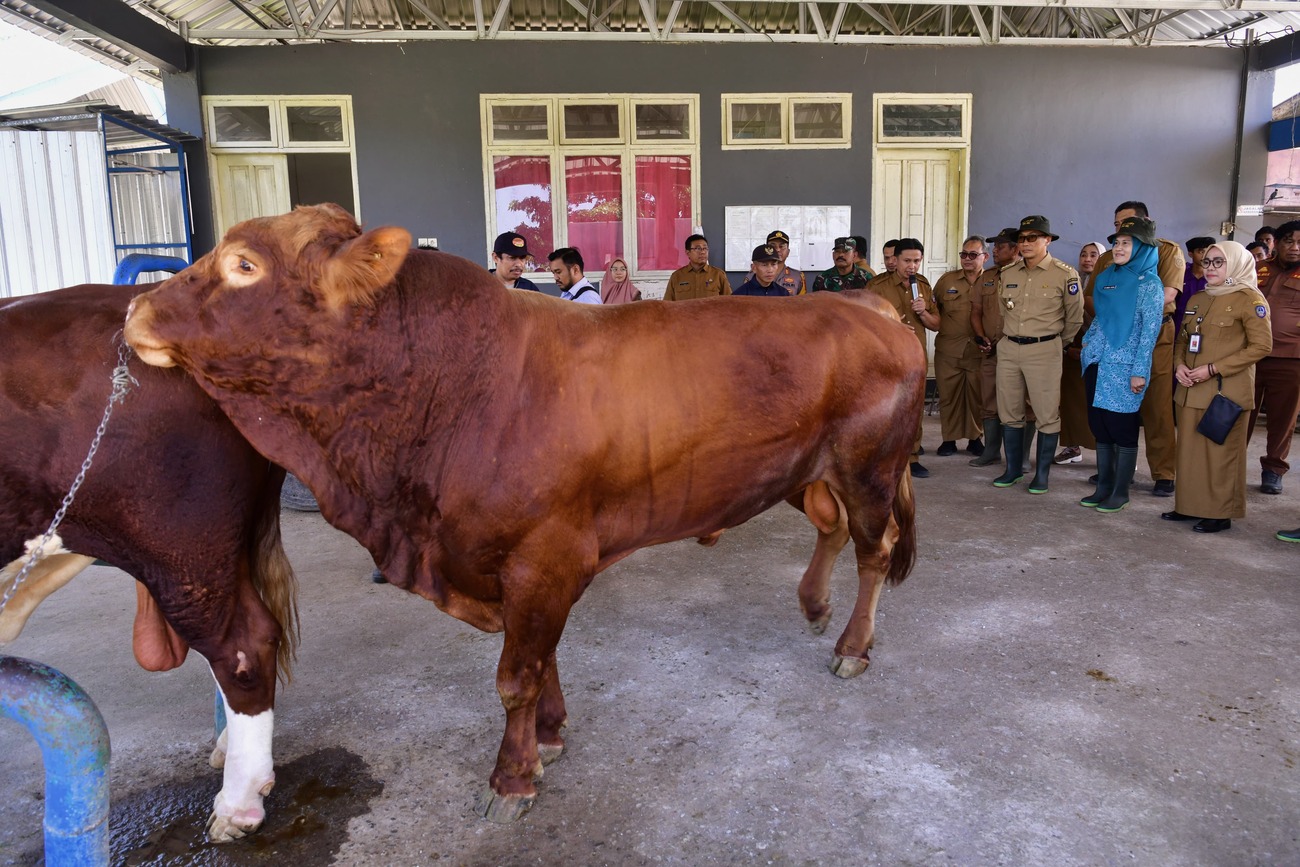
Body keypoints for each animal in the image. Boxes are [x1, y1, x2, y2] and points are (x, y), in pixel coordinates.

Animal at [124, 206, 925, 826]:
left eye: (244, 265)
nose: (135, 309)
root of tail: (864, 304)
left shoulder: (545, 555)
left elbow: (517, 672)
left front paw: (512, 776)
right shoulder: (521, 563)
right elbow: (541, 658)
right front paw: (549, 735)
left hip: (870, 468)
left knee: (875, 549)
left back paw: (853, 644)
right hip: (803, 469)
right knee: (829, 526)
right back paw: (814, 605)